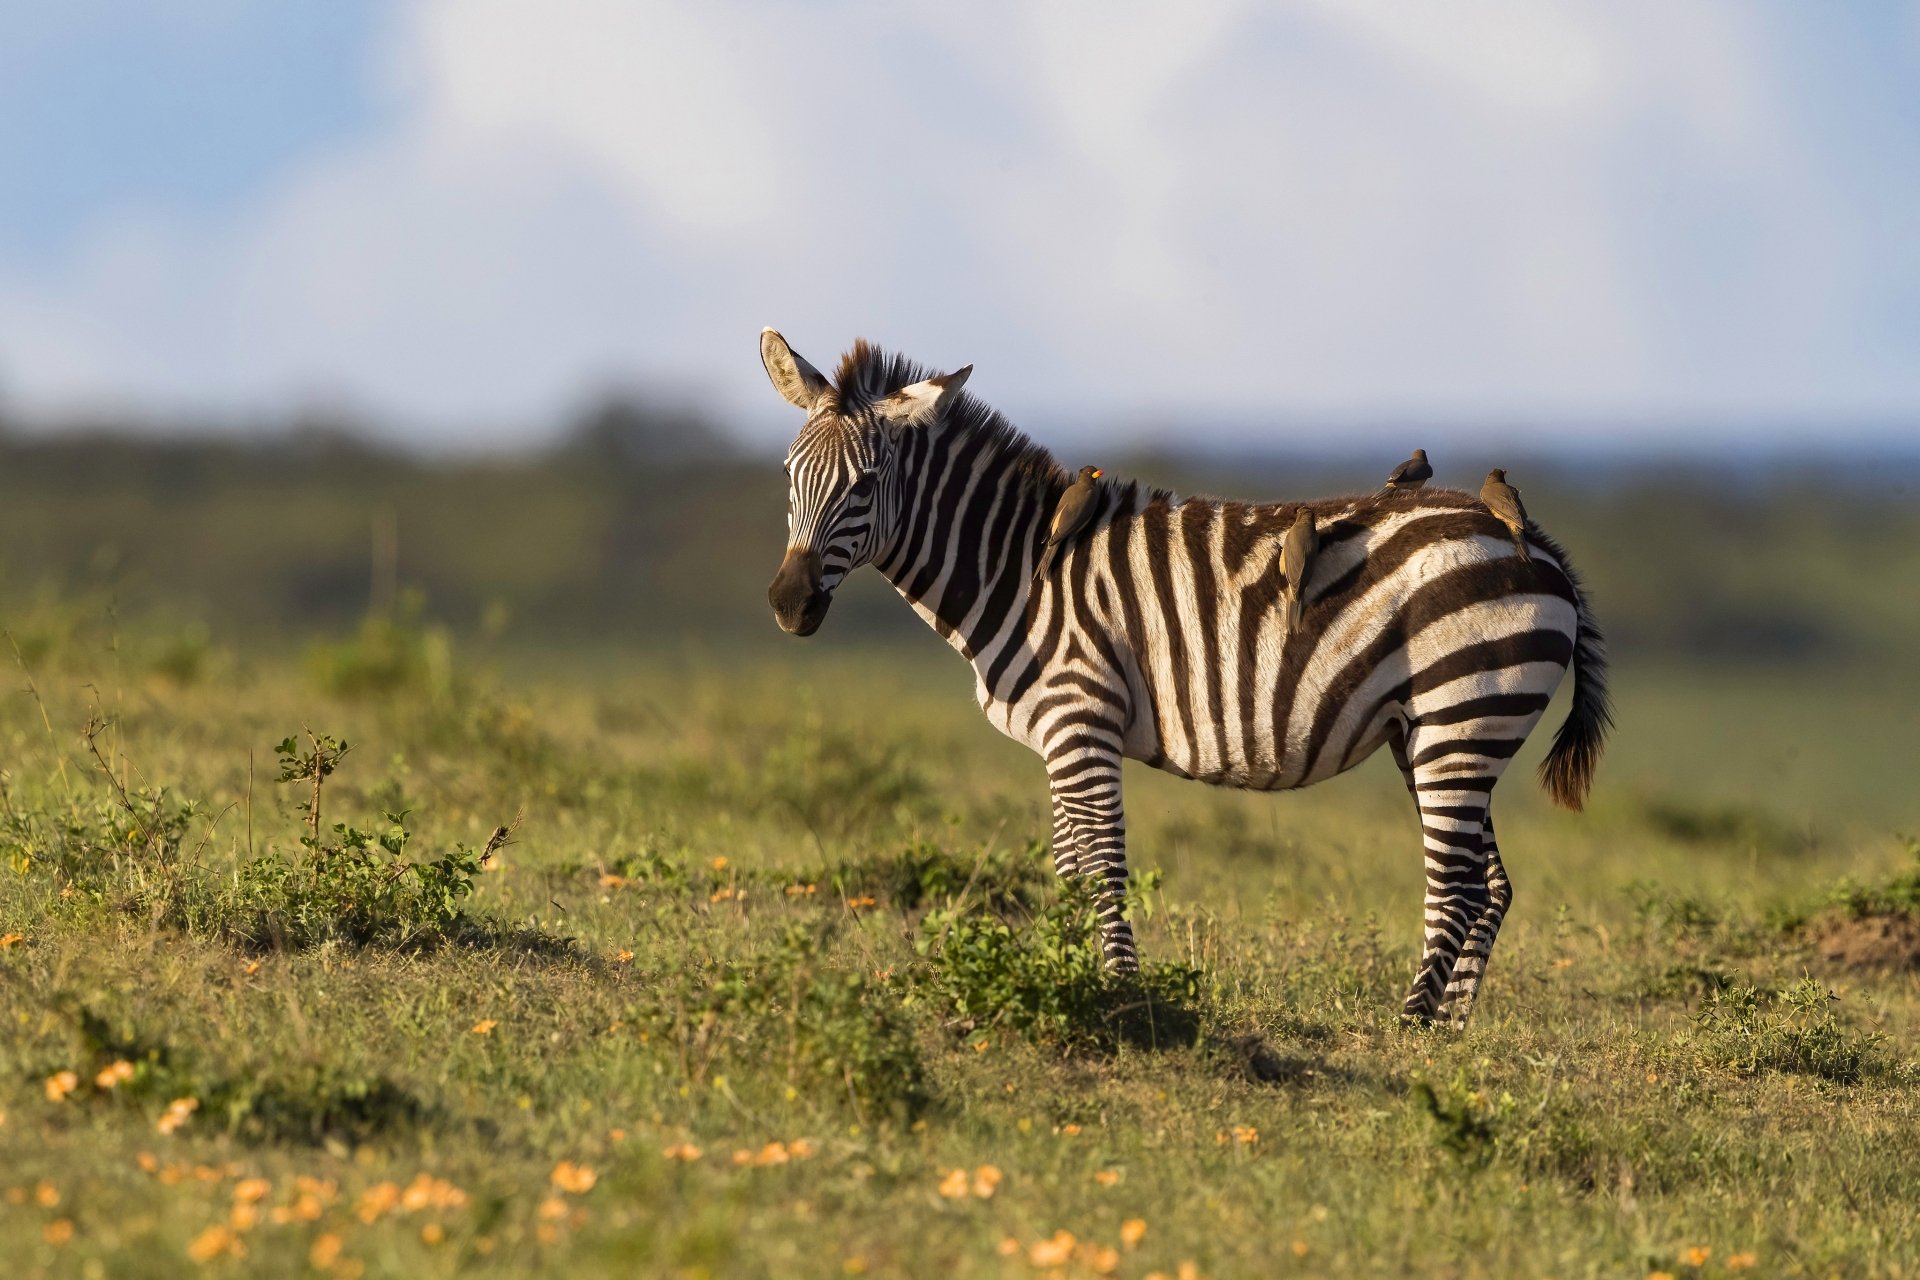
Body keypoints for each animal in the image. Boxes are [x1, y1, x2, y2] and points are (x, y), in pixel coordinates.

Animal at [760, 329, 1611, 1026]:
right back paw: (1448, 1034)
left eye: (866, 484)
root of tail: (1528, 539)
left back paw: (1409, 1025)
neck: (1019, 568)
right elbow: (1070, 872)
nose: (789, 604)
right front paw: (1071, 977)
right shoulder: (1056, 738)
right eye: (788, 474)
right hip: (1442, 733)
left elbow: (1102, 869)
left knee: (1459, 884)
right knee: (1491, 884)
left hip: (1461, 719)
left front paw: (1121, 996)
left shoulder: (1081, 721)